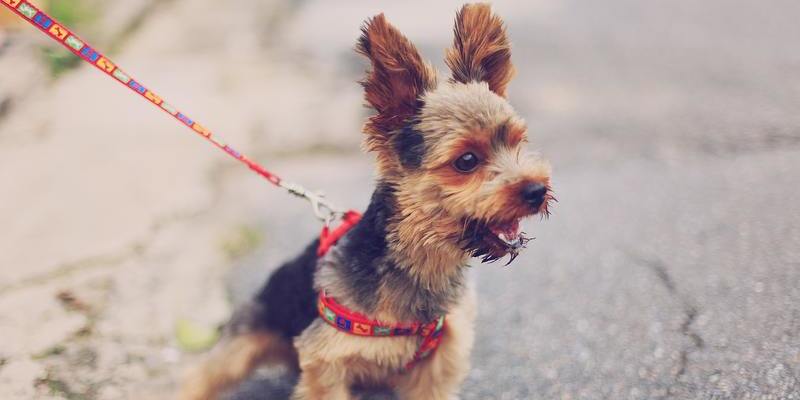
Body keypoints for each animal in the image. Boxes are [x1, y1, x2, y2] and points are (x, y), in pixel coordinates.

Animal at [180, 3, 556, 400]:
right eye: (466, 160)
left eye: (517, 142)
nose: (537, 190)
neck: (421, 262)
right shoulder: (327, 366)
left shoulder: (438, 365)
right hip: (246, 339)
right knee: (203, 374)